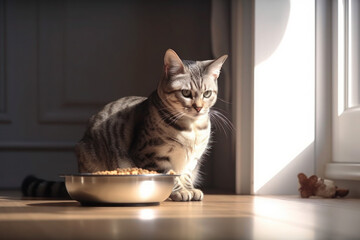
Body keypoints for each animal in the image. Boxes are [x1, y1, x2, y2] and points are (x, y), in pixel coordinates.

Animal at [23, 48, 228, 201]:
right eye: (186, 93)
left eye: (207, 94)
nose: (199, 108)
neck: (192, 128)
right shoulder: (152, 155)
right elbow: (170, 174)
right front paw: (180, 191)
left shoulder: (192, 160)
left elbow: (184, 174)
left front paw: (189, 189)